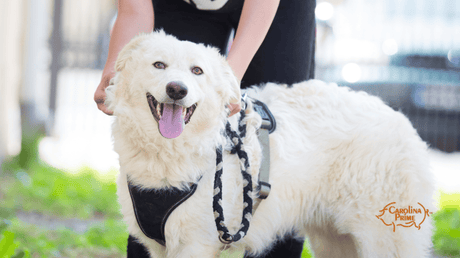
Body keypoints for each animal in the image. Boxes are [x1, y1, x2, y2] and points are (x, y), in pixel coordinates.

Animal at [106, 31, 436, 256]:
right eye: (158, 65)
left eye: (196, 71)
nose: (177, 90)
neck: (165, 153)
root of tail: (401, 119)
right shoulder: (160, 246)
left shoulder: (196, 244)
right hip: (335, 241)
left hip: (383, 240)